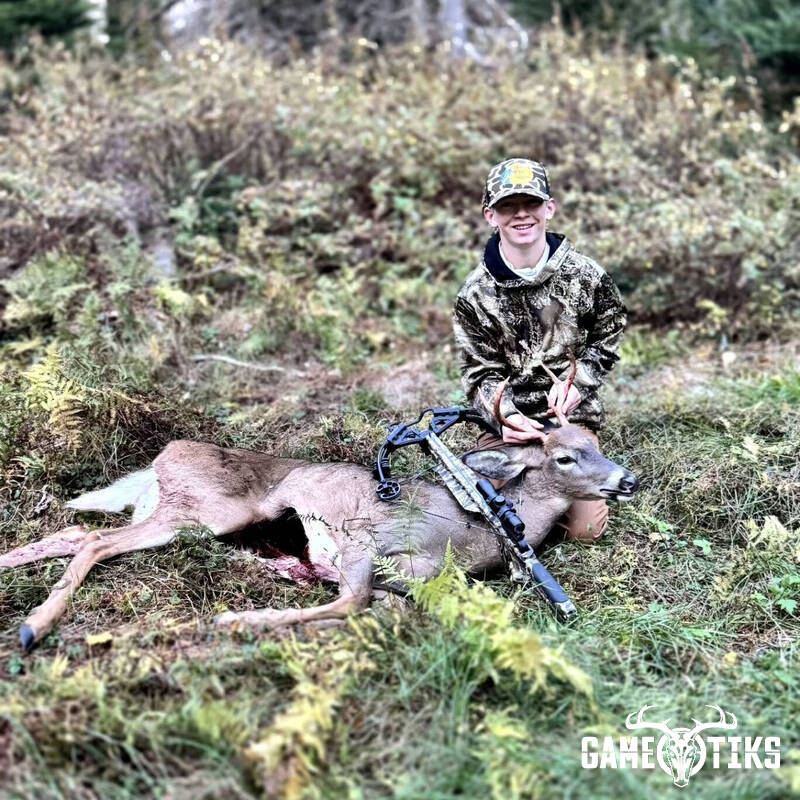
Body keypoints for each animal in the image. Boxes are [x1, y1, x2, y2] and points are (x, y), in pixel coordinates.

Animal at [1, 362, 639, 652]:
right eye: (566, 456)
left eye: (595, 445)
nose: (626, 480)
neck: (472, 532)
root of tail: (162, 456)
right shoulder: (365, 542)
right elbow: (352, 602)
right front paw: (238, 620)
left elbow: (379, 608)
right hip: (209, 513)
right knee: (93, 539)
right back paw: (32, 627)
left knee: (73, 532)